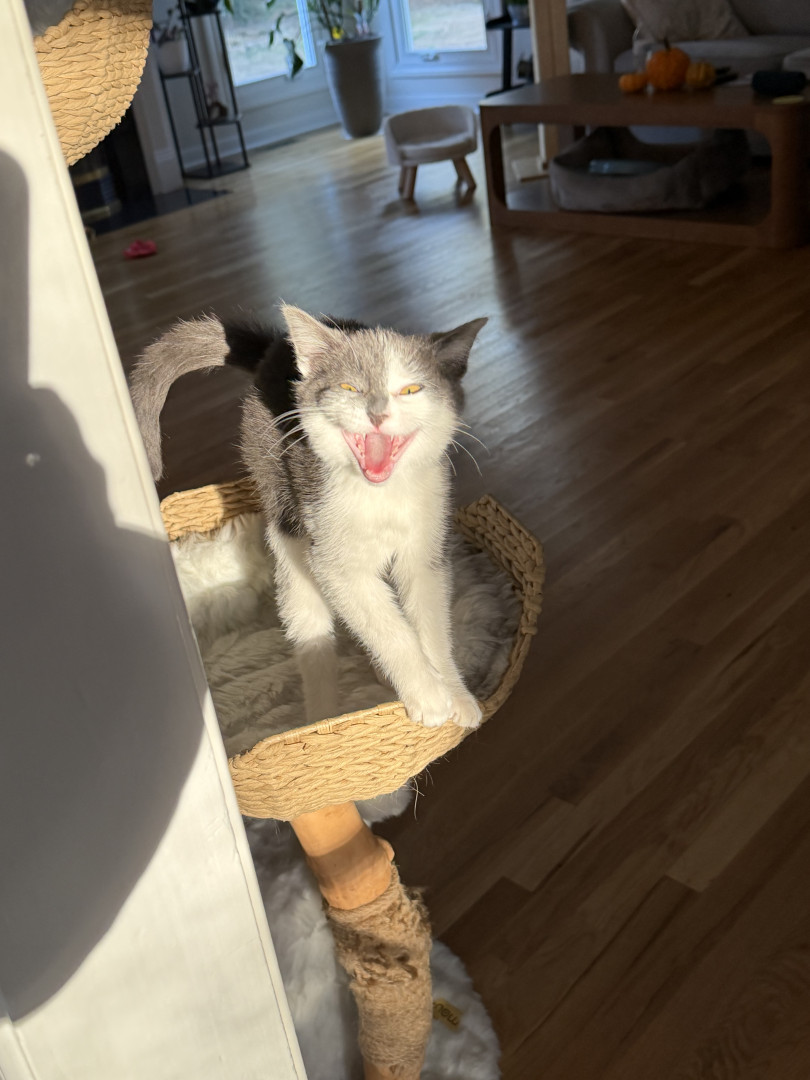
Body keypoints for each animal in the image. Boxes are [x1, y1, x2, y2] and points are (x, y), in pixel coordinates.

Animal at [129, 304, 487, 729]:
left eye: (411, 390)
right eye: (350, 388)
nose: (378, 414)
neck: (381, 497)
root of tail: (275, 347)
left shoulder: (426, 549)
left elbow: (431, 625)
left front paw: (456, 693)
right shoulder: (334, 560)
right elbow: (386, 625)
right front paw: (429, 696)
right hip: (284, 511)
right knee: (310, 631)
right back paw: (322, 717)